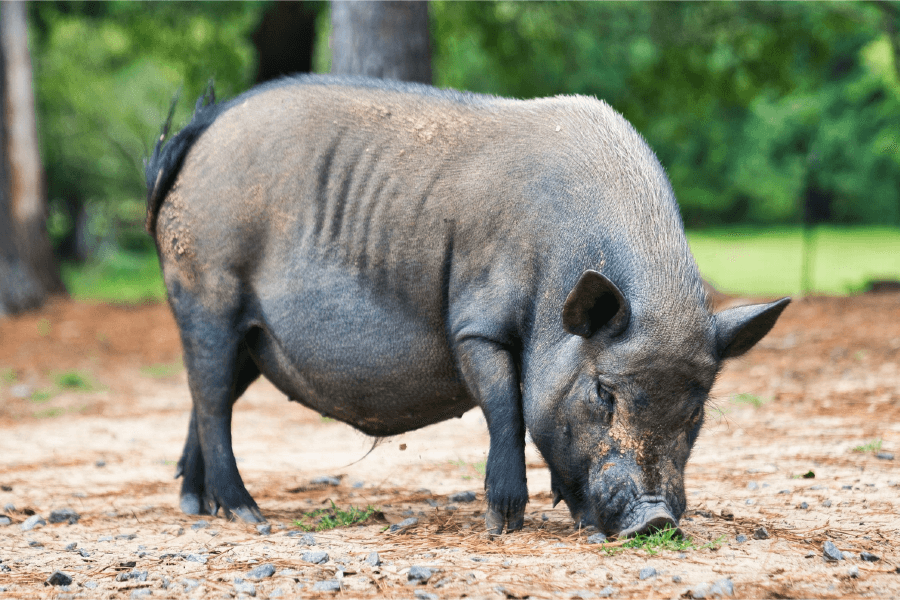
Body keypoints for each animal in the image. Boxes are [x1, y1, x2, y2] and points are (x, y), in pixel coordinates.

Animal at [146, 76, 788, 540]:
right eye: (603, 392)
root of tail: (203, 128)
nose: (654, 519)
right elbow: (508, 408)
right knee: (210, 399)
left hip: (252, 337)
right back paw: (248, 517)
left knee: (211, 397)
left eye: (697, 409)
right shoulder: (478, 325)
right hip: (205, 289)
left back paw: (196, 506)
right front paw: (502, 525)